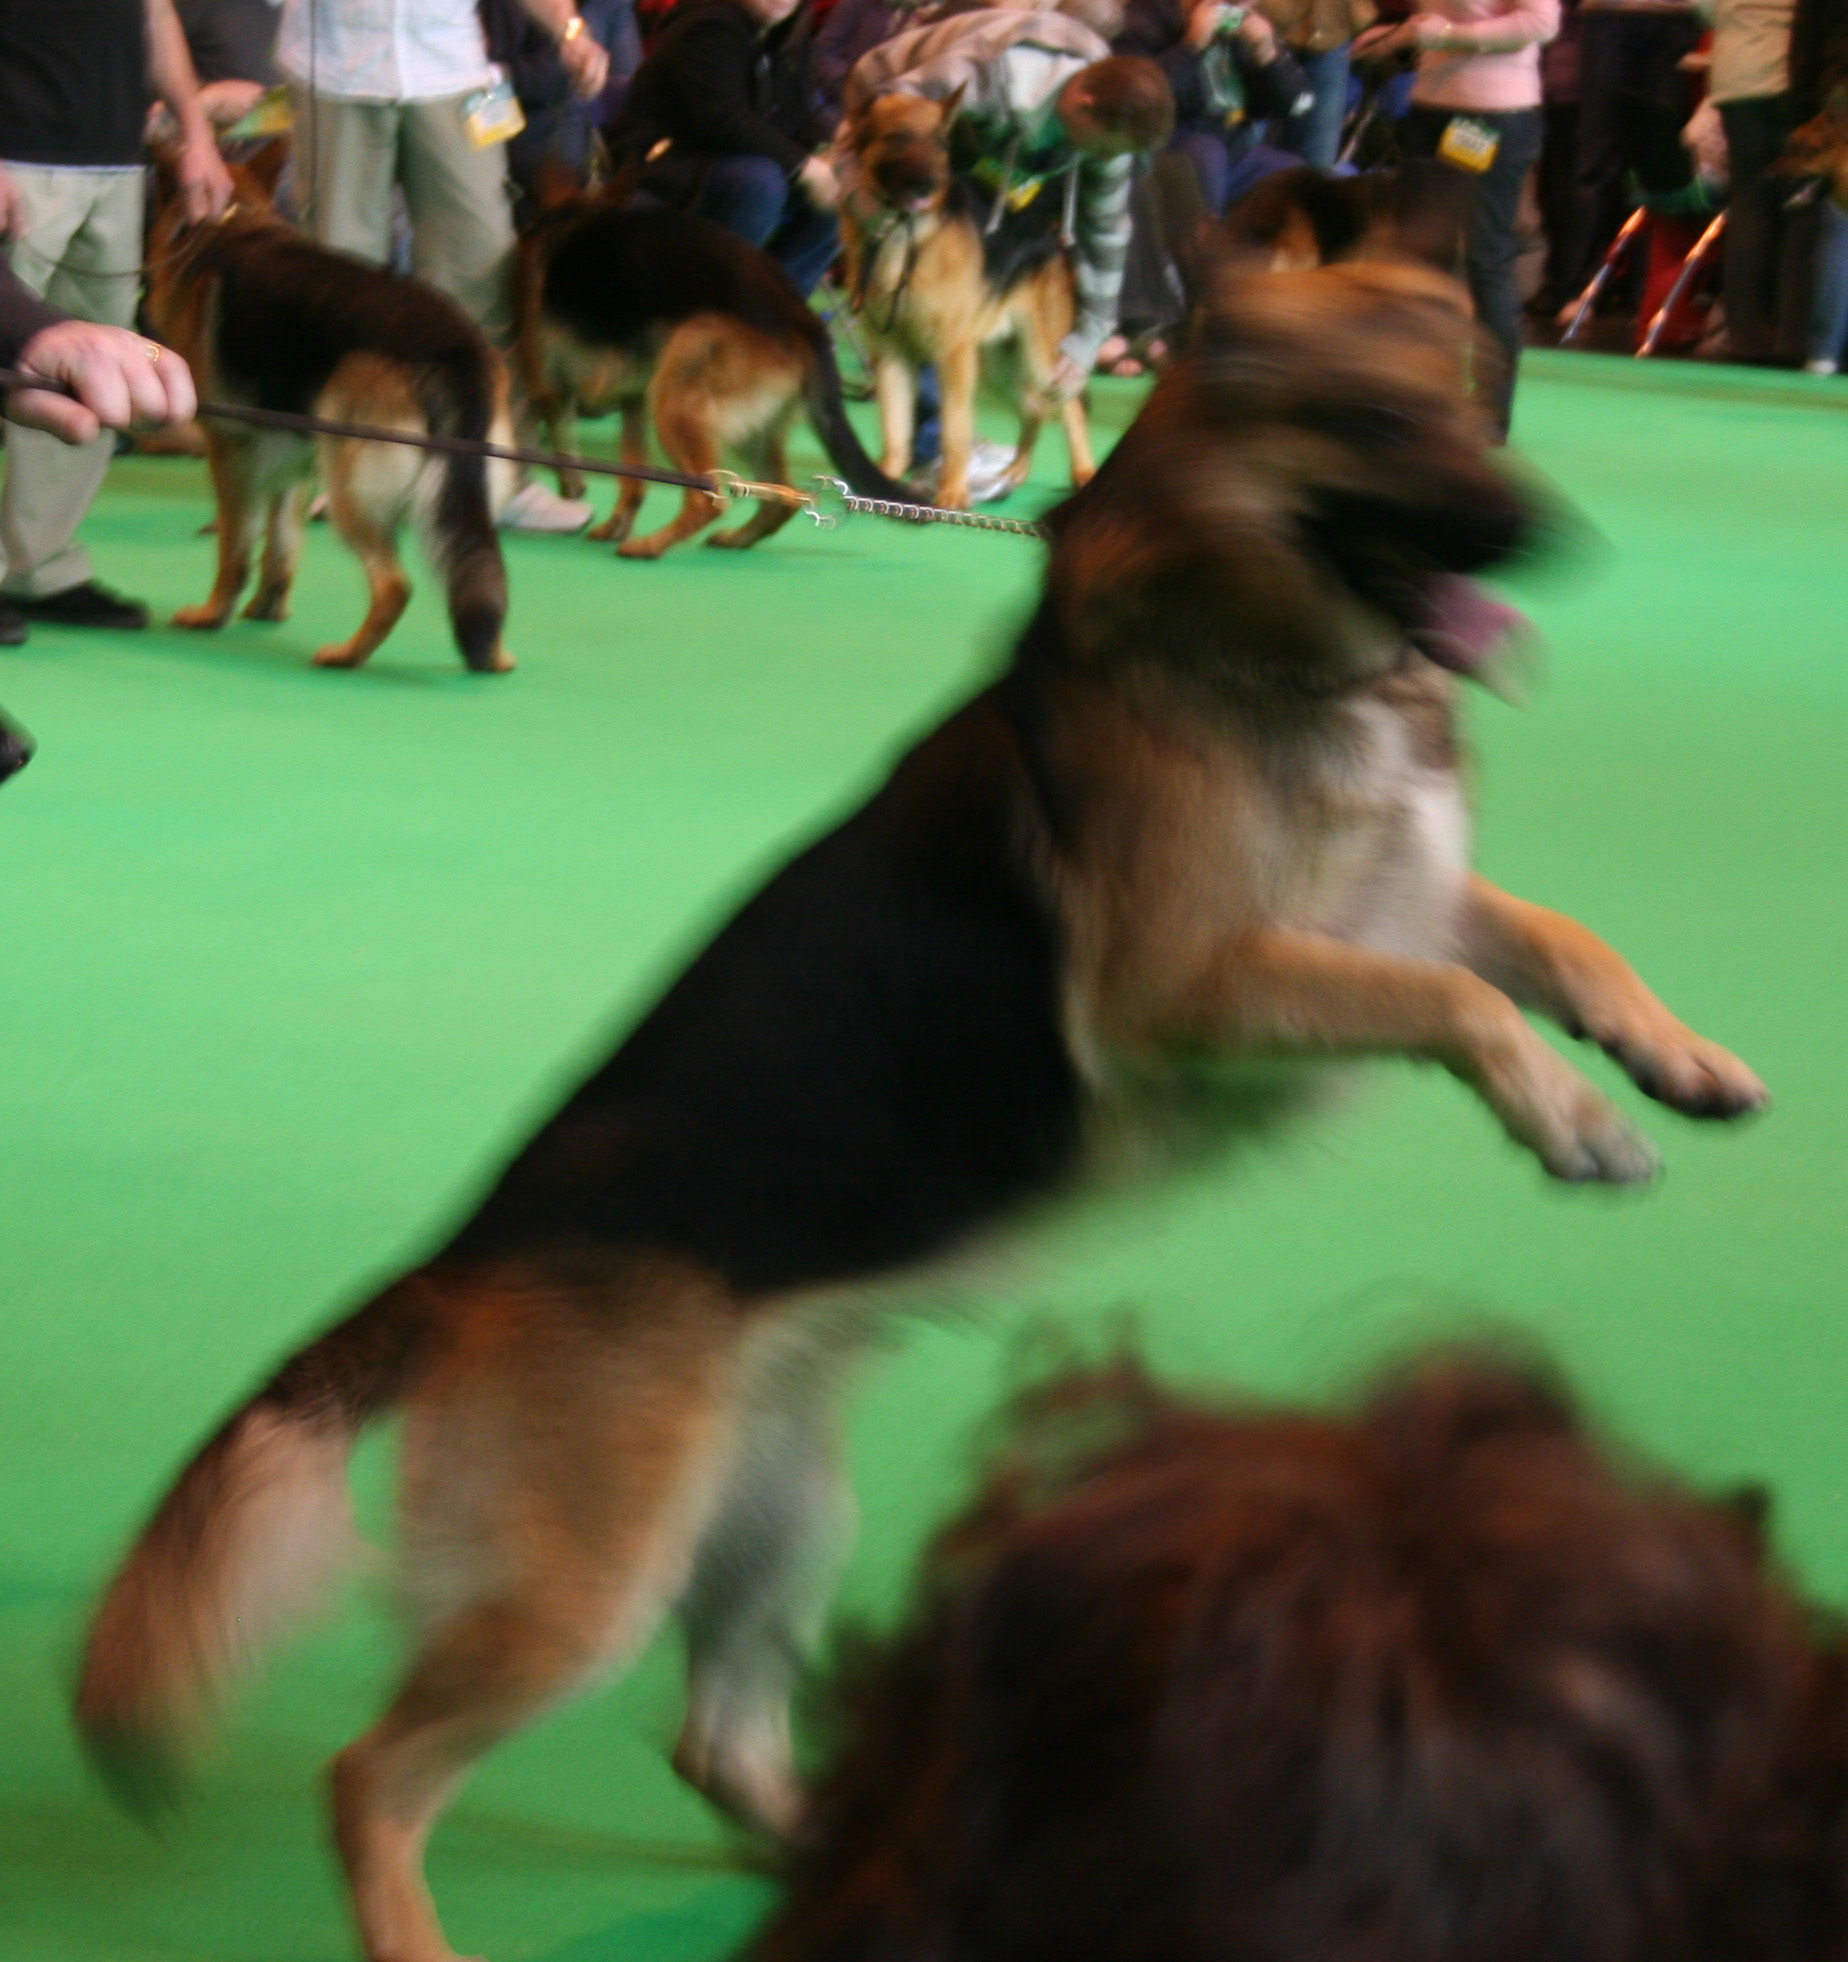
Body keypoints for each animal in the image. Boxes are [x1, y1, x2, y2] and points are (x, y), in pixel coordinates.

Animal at [146, 142, 513, 671]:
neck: (229, 223)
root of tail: (456, 350)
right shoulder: (291, 459)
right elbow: (281, 545)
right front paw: (267, 607)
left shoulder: (231, 453)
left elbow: (235, 549)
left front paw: (213, 614)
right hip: (457, 497)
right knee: (482, 575)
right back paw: (494, 656)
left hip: (349, 490)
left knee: (393, 586)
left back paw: (347, 655)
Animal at [513, 204, 910, 557]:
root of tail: (805, 322)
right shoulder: (631, 398)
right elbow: (631, 476)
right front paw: (613, 522)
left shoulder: (561, 385)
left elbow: (559, 437)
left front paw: (570, 486)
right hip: (738, 425)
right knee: (780, 499)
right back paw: (735, 539)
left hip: (677, 397)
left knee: (708, 499)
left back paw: (649, 546)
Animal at [851, 92, 1098, 510]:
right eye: (899, 138)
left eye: (939, 143)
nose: (929, 184)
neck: (905, 234)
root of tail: (1050, 234)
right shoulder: (891, 355)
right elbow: (894, 427)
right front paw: (883, 480)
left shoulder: (951, 356)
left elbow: (954, 430)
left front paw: (952, 492)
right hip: (999, 370)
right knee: (1032, 411)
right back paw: (1014, 472)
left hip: (1040, 361)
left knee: (1071, 409)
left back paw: (1083, 472)